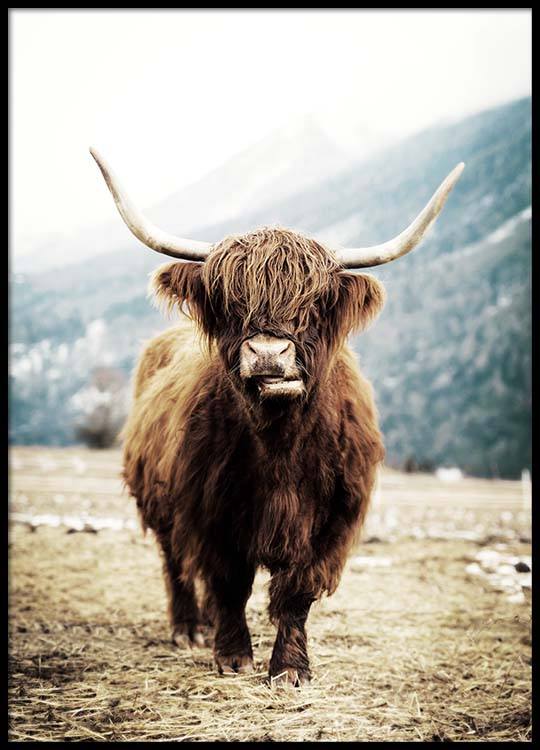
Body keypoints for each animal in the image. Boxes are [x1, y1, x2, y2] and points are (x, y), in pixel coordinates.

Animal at [91, 148, 463, 686]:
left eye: (314, 303)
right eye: (229, 302)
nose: (268, 354)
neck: (281, 445)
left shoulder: (331, 522)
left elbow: (296, 594)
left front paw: (289, 668)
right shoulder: (210, 511)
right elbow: (228, 582)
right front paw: (232, 657)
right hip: (159, 501)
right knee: (175, 562)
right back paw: (189, 628)